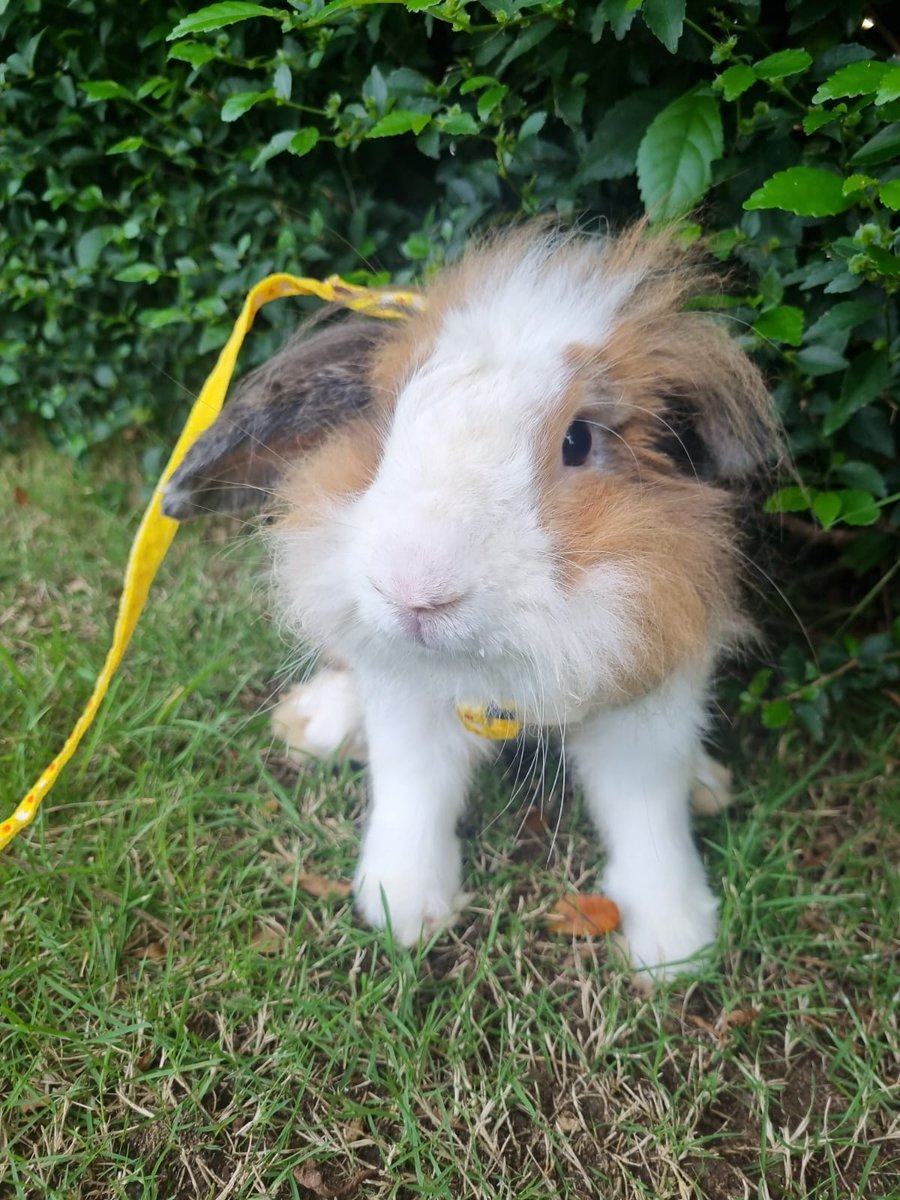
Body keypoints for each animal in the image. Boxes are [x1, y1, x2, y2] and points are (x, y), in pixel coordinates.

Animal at [164, 224, 777, 979]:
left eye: (580, 440)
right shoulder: (406, 696)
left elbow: (647, 815)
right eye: (388, 418)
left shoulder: (648, 707)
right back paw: (314, 725)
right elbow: (412, 789)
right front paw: (402, 909)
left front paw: (675, 947)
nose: (413, 589)